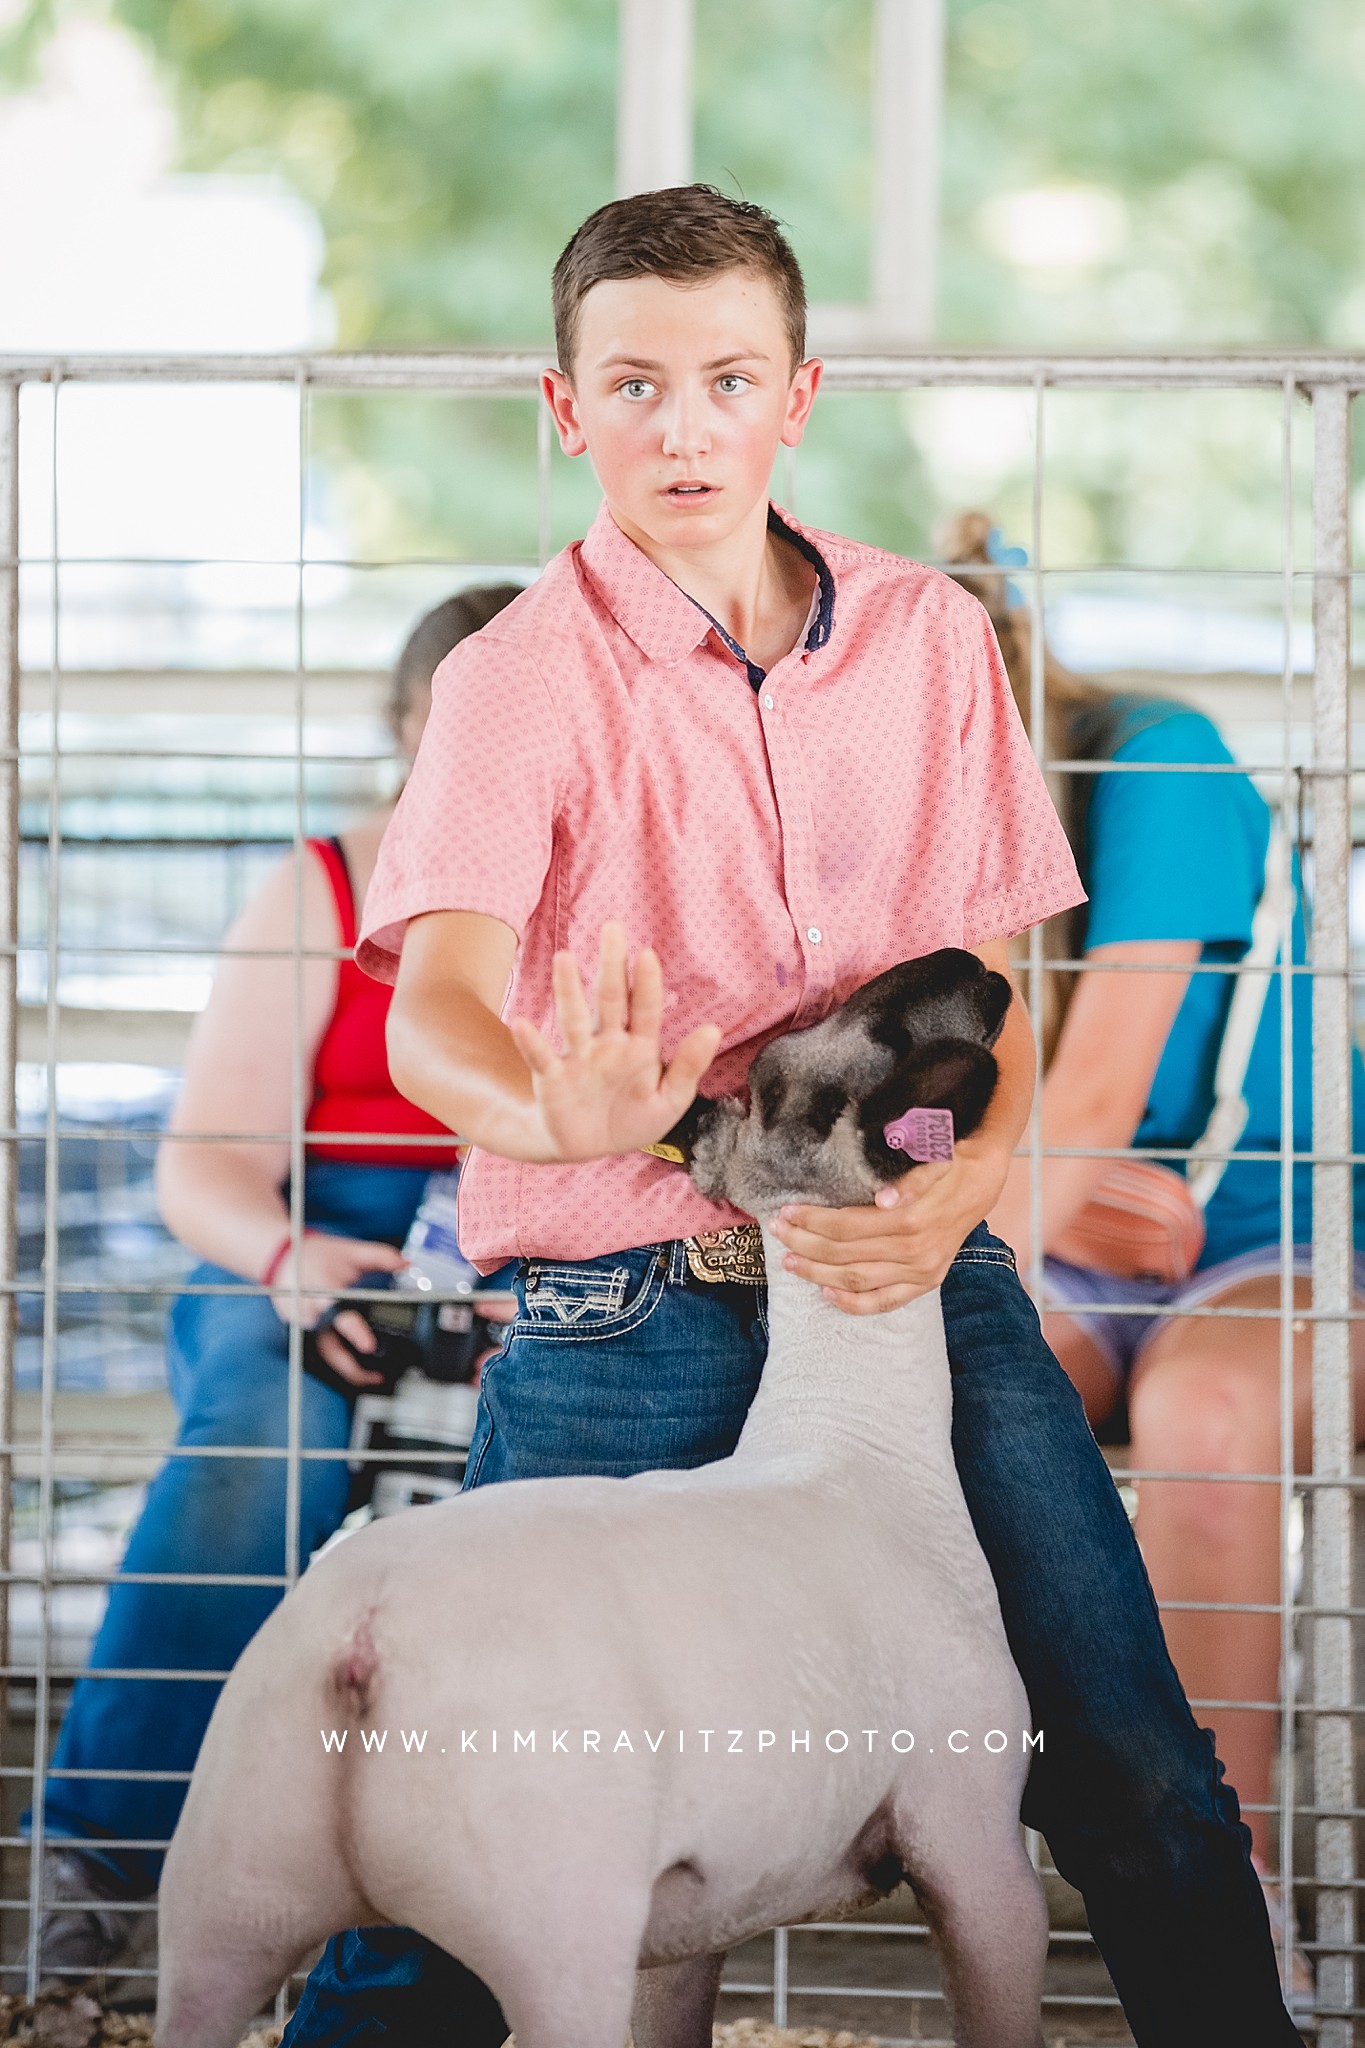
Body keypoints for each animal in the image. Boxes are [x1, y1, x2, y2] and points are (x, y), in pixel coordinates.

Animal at [152, 942, 1047, 2048]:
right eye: (872, 1033)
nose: (970, 959)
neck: (849, 1426)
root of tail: (362, 1641)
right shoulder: (973, 1840)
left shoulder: (703, 1905)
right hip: (555, 1910)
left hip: (224, 1887)